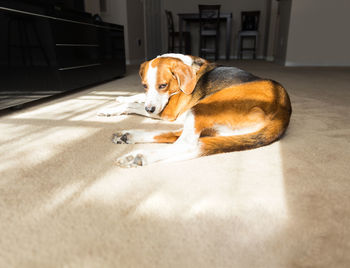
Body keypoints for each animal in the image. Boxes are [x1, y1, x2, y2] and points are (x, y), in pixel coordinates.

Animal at [97, 53, 292, 166]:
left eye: (163, 85)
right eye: (145, 85)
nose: (150, 110)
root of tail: (284, 111)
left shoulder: (167, 112)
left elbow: (134, 105)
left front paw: (115, 106)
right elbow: (137, 98)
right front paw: (116, 102)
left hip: (202, 107)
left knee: (187, 144)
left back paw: (139, 156)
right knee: (178, 137)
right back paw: (129, 136)